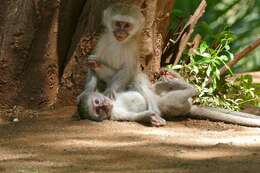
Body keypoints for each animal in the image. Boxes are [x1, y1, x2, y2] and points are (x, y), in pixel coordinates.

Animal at [79, 71, 260, 127]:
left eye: (97, 102)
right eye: (98, 110)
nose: (104, 104)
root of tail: (190, 108)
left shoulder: (106, 92)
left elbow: (134, 81)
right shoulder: (114, 116)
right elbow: (135, 116)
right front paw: (151, 118)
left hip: (161, 94)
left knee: (156, 89)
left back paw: (172, 78)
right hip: (174, 104)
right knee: (180, 96)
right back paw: (188, 87)